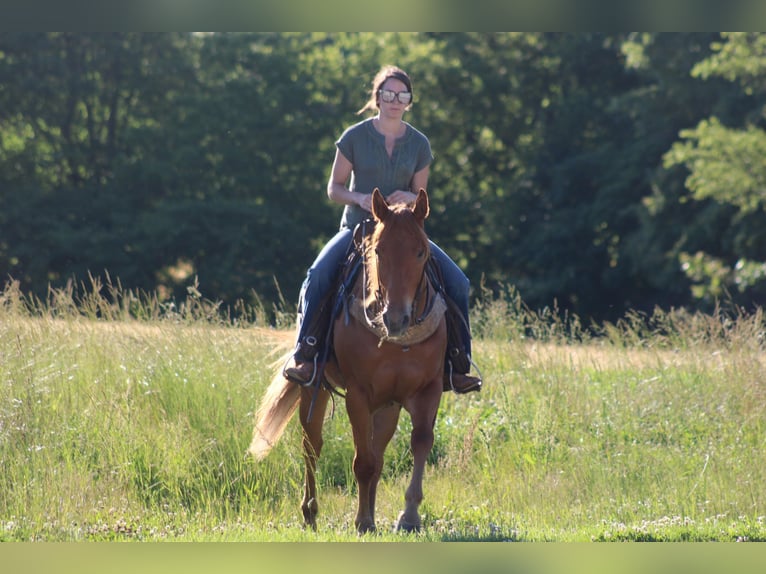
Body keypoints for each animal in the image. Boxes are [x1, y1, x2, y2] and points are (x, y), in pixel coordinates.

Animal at [249, 189, 448, 536]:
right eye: (378, 250)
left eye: (421, 252)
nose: (396, 318)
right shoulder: (358, 394)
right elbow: (362, 462)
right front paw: (363, 522)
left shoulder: (428, 390)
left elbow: (420, 443)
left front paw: (408, 516)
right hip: (313, 390)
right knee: (312, 446)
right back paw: (310, 512)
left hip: (388, 406)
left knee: (377, 454)